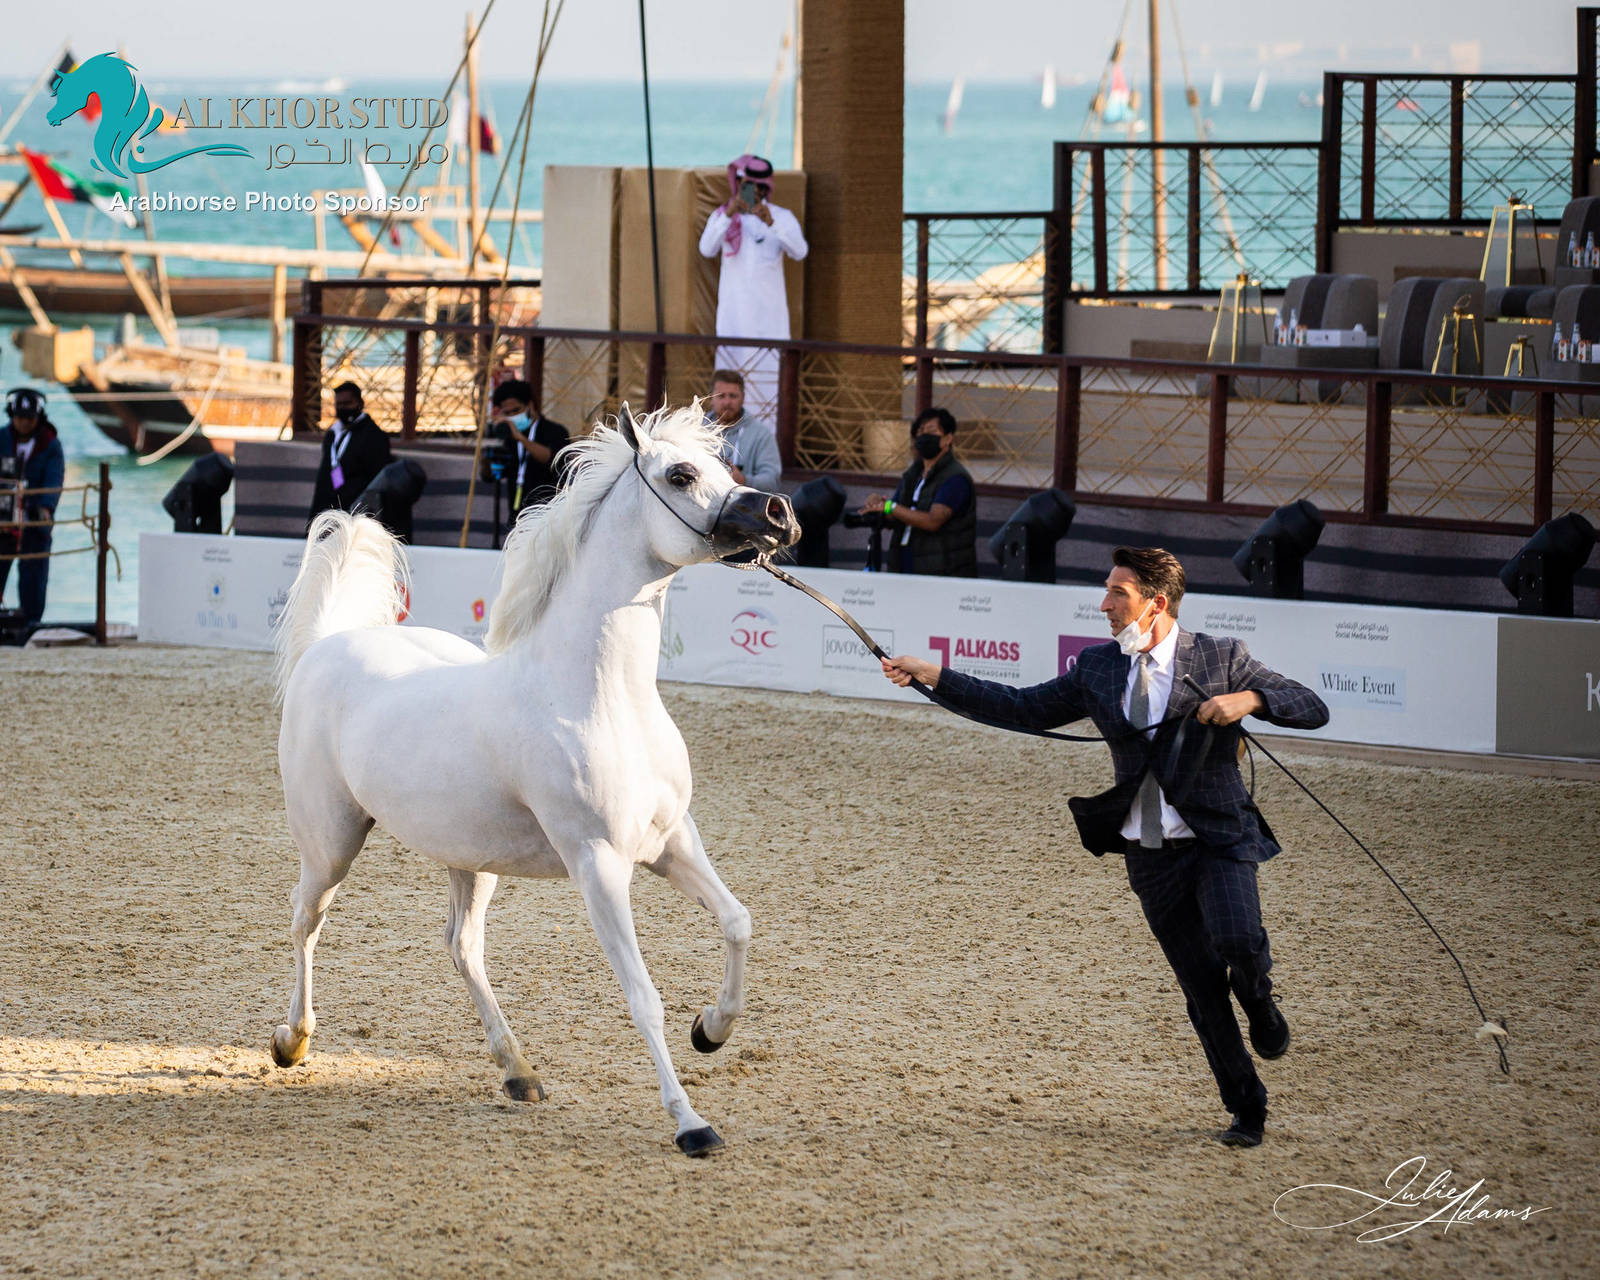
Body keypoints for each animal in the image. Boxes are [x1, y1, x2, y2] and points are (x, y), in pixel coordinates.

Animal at [270, 405, 799, 1156]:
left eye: (728, 467)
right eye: (680, 474)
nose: (781, 515)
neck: (597, 696)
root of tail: (326, 644)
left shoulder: (672, 842)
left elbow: (737, 922)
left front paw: (712, 1030)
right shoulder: (599, 864)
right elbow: (642, 995)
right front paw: (691, 1124)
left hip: (470, 858)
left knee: (461, 947)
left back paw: (517, 1070)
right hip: (330, 843)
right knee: (305, 923)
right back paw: (292, 1042)